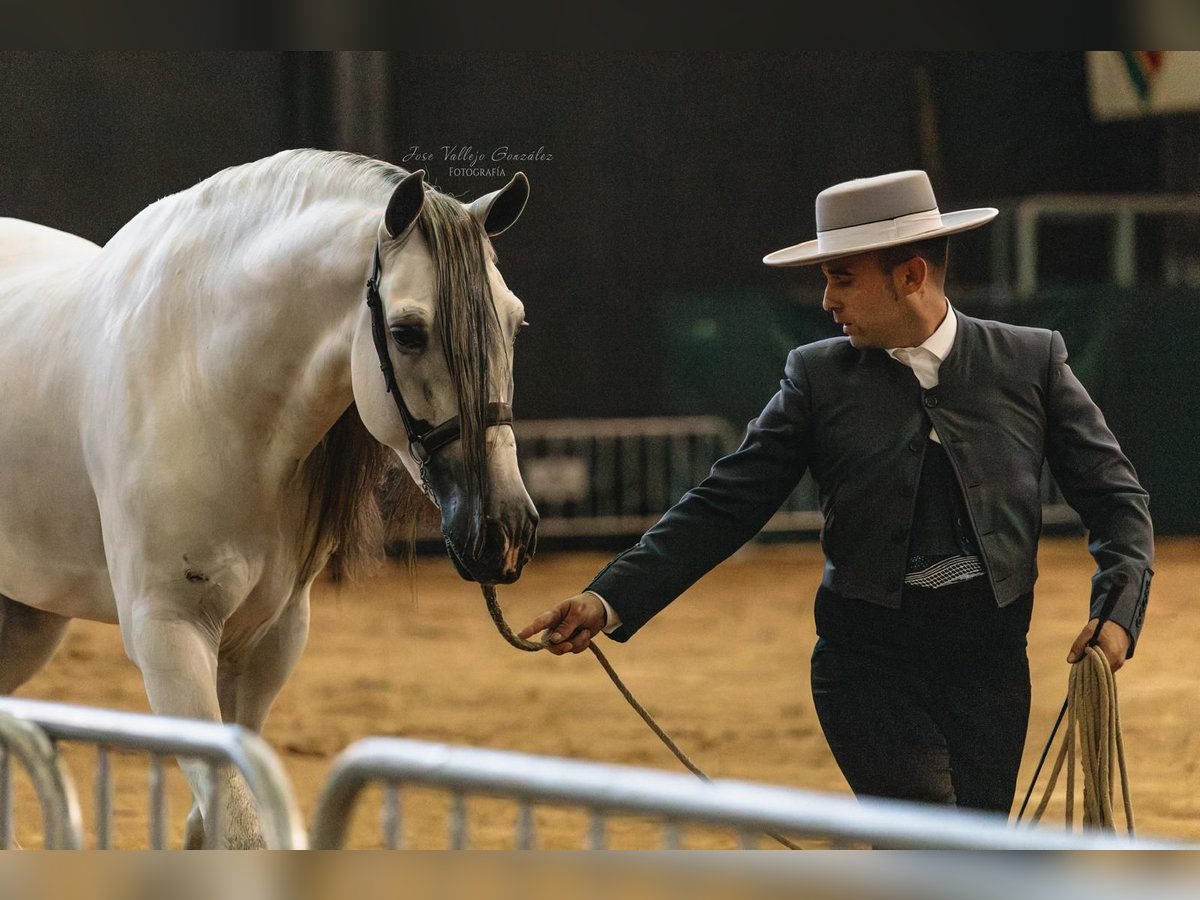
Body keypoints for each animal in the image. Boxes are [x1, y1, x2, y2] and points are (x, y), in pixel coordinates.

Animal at [0, 151, 537, 849]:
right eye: (407, 332)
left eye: (515, 319)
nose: (506, 530)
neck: (204, 382)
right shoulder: (167, 636)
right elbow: (240, 826)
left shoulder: (269, 642)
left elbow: (216, 820)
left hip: (28, 619)